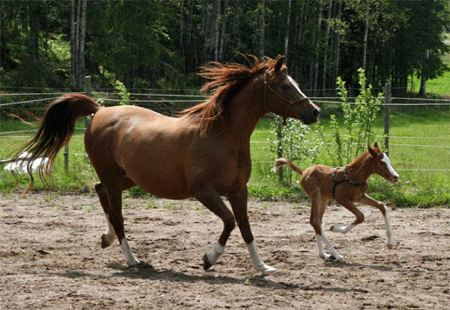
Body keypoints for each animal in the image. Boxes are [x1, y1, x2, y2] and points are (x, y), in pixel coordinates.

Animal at [12, 55, 318, 274]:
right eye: (285, 86)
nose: (314, 112)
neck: (222, 134)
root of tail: (99, 111)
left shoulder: (238, 190)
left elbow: (245, 228)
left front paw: (262, 266)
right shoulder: (202, 190)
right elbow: (230, 222)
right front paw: (208, 259)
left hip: (127, 177)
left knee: (101, 193)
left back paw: (106, 238)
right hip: (114, 176)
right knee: (118, 215)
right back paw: (132, 260)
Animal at [272, 143, 400, 262]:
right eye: (381, 162)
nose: (395, 177)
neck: (353, 177)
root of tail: (304, 172)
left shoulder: (359, 197)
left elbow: (382, 206)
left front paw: (390, 243)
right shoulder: (342, 199)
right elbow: (360, 216)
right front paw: (336, 229)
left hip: (323, 199)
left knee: (317, 221)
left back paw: (323, 254)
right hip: (315, 195)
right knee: (314, 221)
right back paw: (336, 254)